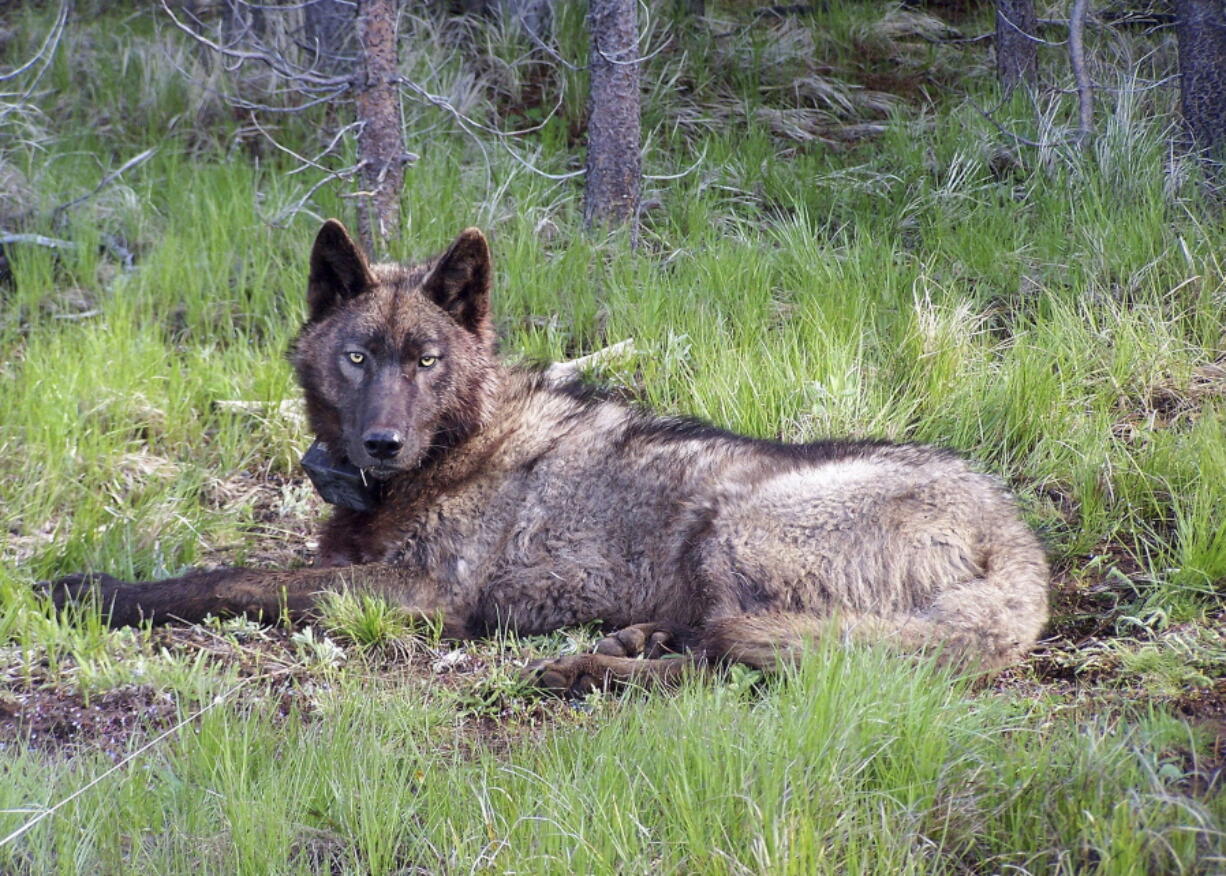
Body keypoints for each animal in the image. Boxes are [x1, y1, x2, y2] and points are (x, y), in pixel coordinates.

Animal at [45, 220, 1044, 700]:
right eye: (360, 357)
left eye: (427, 362)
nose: (382, 443)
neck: (456, 446)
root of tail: (1019, 539)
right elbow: (250, 570)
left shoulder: (418, 596)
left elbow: (232, 580)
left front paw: (95, 591)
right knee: (738, 648)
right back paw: (630, 642)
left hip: (731, 524)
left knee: (746, 660)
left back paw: (584, 670)